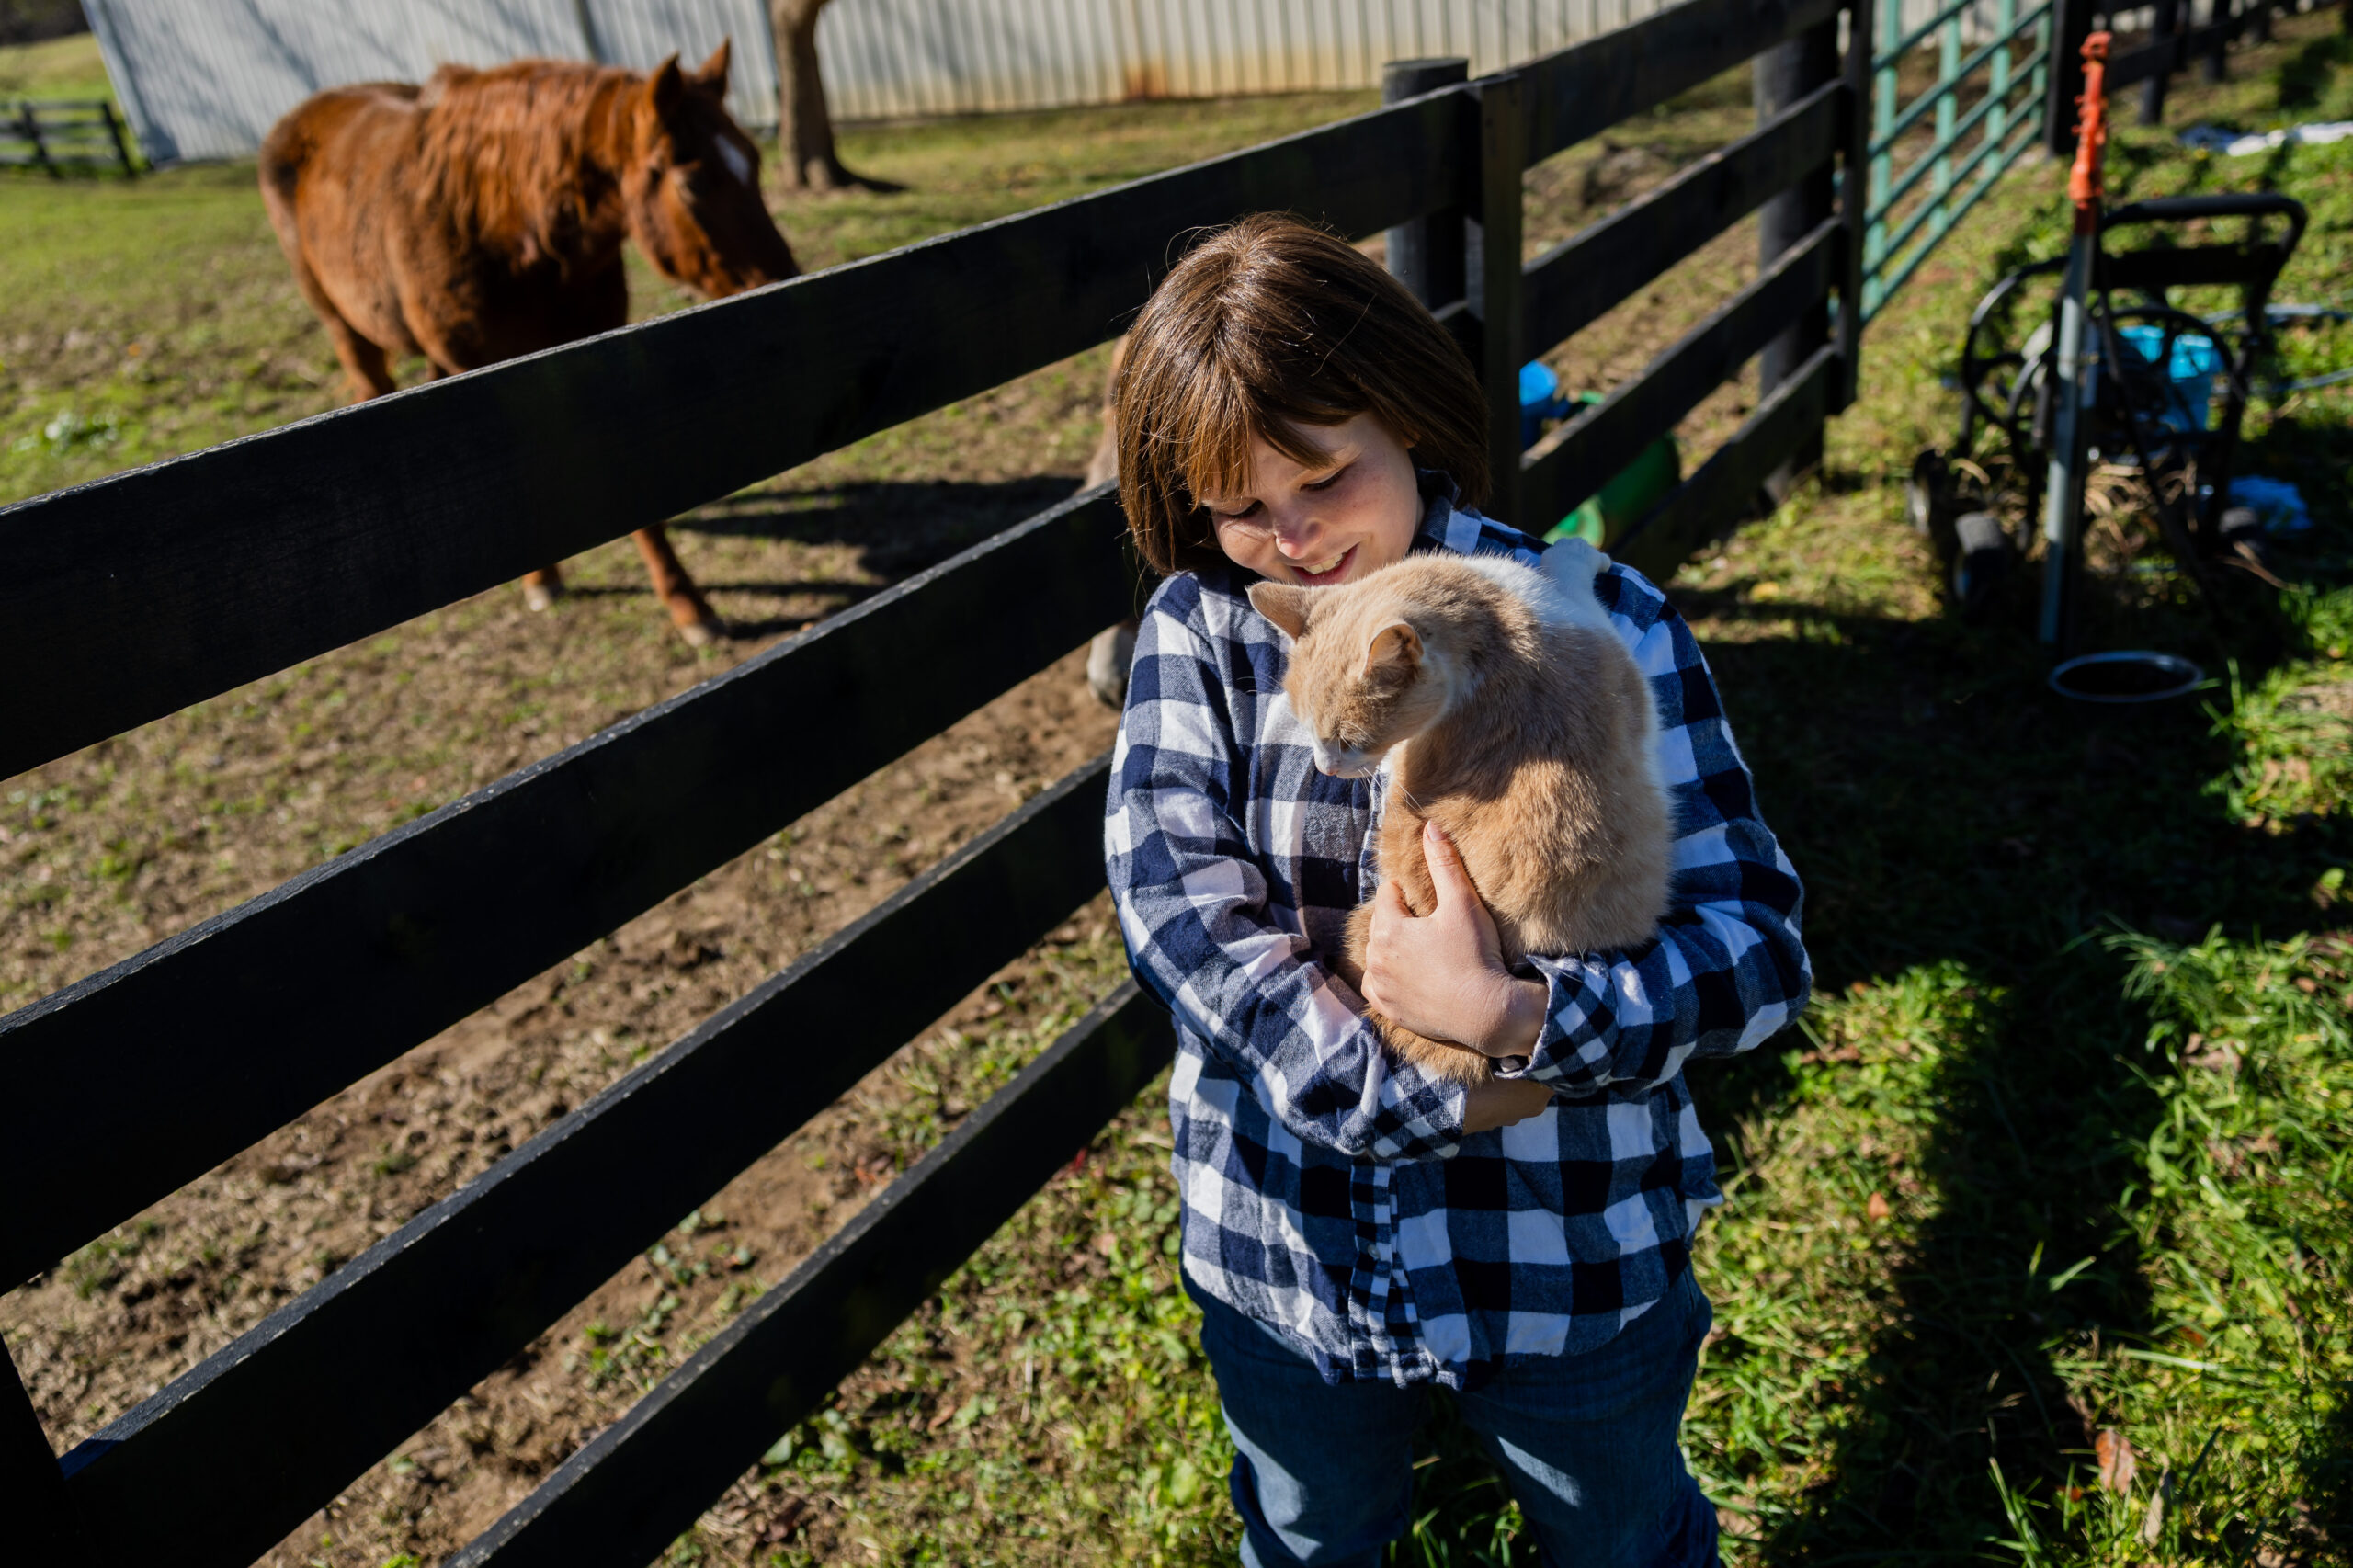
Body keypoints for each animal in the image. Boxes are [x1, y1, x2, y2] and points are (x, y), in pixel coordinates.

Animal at [262, 42, 800, 644]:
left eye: (754, 162)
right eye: (694, 184)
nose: (785, 284)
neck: (504, 228)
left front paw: (688, 604)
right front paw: (541, 578)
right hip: (344, 324)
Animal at [1251, 543, 1675, 1083]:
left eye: (1349, 739)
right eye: (1305, 727)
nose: (1325, 766)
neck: (1493, 625)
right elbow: (1571, 569)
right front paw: (1574, 551)